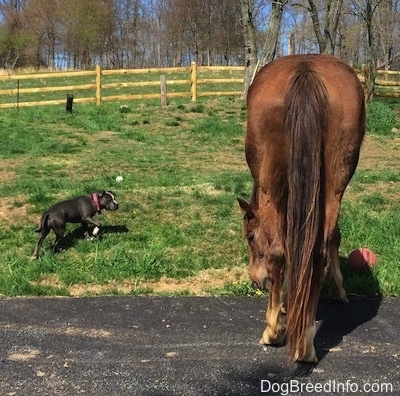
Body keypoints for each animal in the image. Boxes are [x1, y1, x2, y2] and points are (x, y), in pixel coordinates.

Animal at [239, 54, 364, 364]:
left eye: (250, 237)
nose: (256, 281)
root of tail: (305, 72)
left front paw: (284, 303)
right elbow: (331, 239)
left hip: (272, 187)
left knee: (279, 253)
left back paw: (273, 331)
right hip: (333, 187)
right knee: (318, 254)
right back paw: (306, 343)